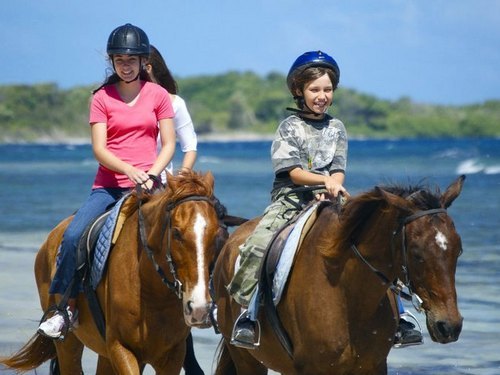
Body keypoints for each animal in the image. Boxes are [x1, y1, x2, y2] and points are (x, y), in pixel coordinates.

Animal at [1, 172, 221, 374]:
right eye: (176, 233)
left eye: (217, 234)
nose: (199, 308)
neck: (149, 289)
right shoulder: (120, 348)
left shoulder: (173, 355)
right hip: (68, 343)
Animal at [213, 176, 466, 375]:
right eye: (416, 253)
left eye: (458, 250)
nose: (449, 326)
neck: (347, 295)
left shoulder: (373, 366)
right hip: (247, 359)